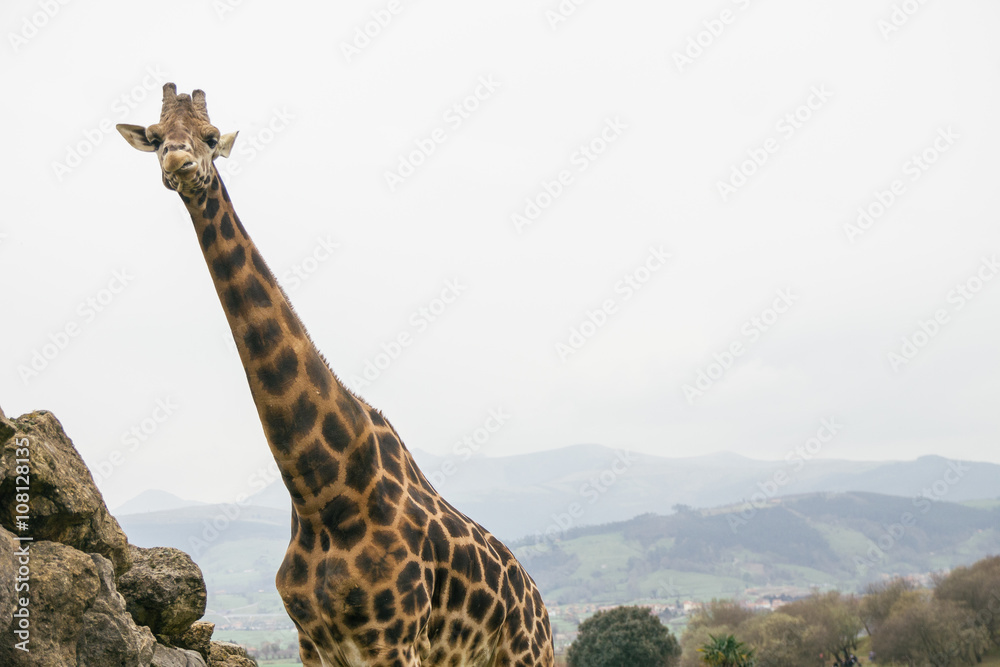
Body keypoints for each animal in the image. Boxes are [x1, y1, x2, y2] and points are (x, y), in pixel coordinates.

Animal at [116, 84, 554, 667]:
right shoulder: (313, 644)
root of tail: (541, 604)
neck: (320, 493)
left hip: (526, 655)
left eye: (210, 137)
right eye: (156, 136)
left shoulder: (394, 640)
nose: (178, 160)